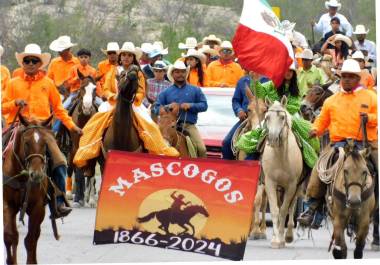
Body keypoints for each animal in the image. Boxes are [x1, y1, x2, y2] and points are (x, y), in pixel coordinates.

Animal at [2, 114, 58, 264]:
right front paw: (11, 260)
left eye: (45, 143)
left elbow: (30, 240)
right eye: (26, 143)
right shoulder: (6, 205)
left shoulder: (37, 208)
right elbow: (9, 236)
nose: (36, 174)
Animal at [262, 96, 302, 248]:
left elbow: (285, 210)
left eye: (282, 117)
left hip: (297, 187)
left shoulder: (291, 185)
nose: (273, 138)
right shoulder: (270, 183)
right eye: (267, 117)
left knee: (291, 206)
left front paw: (281, 238)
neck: (280, 158)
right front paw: (275, 239)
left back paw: (288, 235)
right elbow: (275, 210)